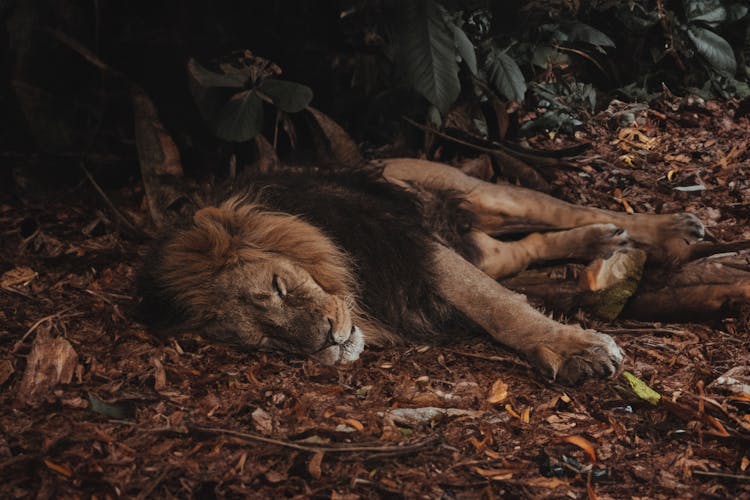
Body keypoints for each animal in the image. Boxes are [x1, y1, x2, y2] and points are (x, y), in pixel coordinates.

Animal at [138, 158, 708, 384]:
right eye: (267, 342)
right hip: (488, 247)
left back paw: (672, 230)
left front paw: (579, 351)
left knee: (567, 209)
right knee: (535, 244)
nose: (326, 342)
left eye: (278, 287)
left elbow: (496, 306)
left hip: (482, 192)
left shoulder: (415, 245)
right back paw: (602, 242)